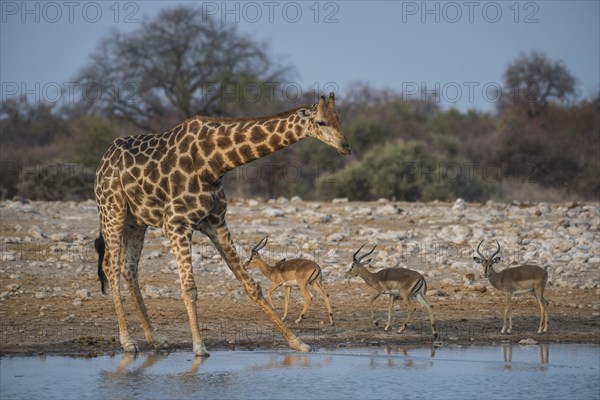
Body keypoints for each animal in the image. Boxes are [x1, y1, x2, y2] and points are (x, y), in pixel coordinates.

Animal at [94, 92, 352, 354]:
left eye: (339, 119)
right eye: (320, 121)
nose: (345, 146)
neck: (214, 162)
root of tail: (104, 158)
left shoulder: (217, 222)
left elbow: (251, 285)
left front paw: (297, 342)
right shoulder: (177, 223)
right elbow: (189, 288)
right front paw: (199, 347)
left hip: (136, 222)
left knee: (129, 269)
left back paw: (154, 337)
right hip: (112, 212)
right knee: (111, 268)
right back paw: (128, 341)